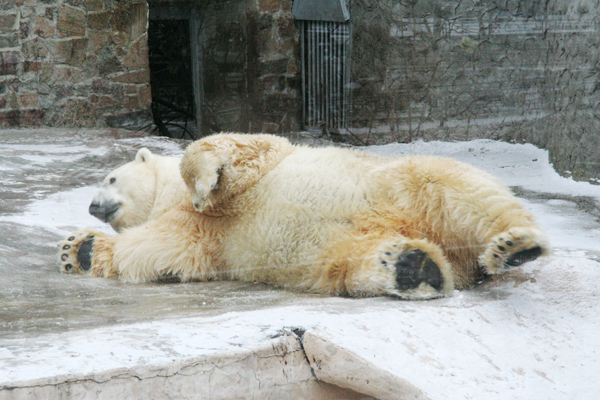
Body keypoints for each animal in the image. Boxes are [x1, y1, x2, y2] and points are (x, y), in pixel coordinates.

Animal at [58, 134, 552, 300]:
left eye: (111, 178)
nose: (92, 206)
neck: (169, 199)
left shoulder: (262, 161)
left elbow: (228, 151)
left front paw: (203, 184)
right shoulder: (203, 238)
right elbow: (161, 249)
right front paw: (78, 250)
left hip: (401, 183)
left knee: (459, 189)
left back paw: (515, 245)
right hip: (347, 249)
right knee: (354, 264)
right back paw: (414, 267)